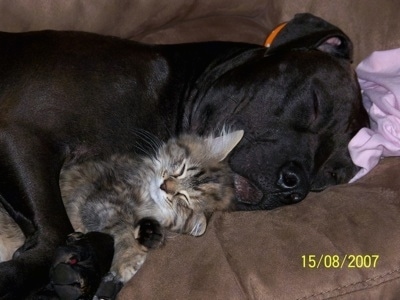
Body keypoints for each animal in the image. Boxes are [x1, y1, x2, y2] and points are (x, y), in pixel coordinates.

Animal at [0, 130, 244, 282]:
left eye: (183, 199)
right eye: (182, 168)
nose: (165, 186)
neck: (146, 193)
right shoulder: (98, 203)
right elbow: (122, 228)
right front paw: (128, 259)